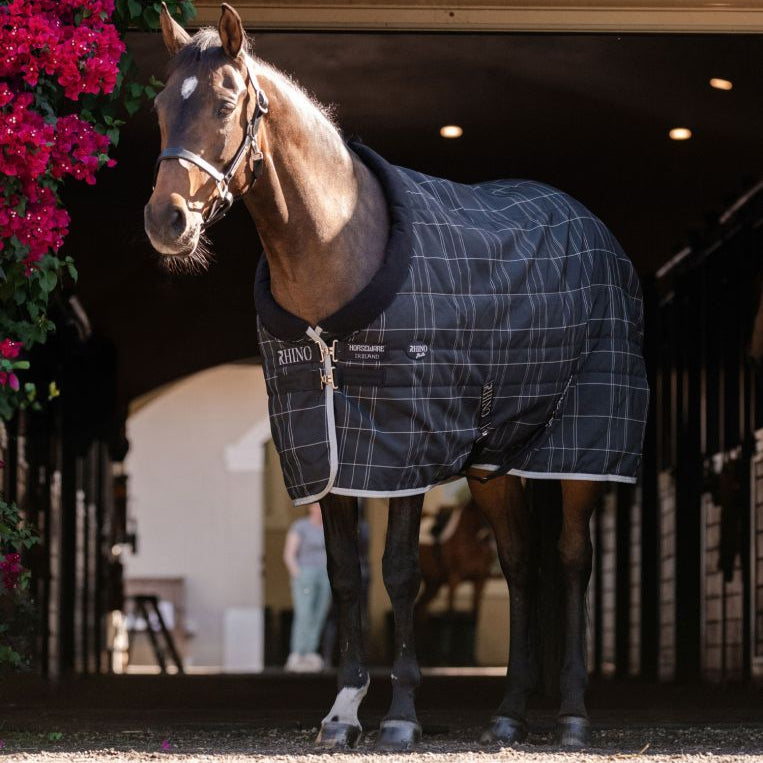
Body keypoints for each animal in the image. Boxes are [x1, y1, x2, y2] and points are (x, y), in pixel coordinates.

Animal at [144, 4, 649, 750]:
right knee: (520, 565)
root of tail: (593, 229)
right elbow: (347, 576)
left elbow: (400, 573)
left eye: (225, 102)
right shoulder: (325, 452)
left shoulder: (403, 447)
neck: (338, 253)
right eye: (157, 107)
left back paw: (573, 715)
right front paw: (344, 710)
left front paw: (402, 713)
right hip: (494, 465)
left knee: (569, 559)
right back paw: (506, 712)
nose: (166, 219)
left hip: (582, 449)